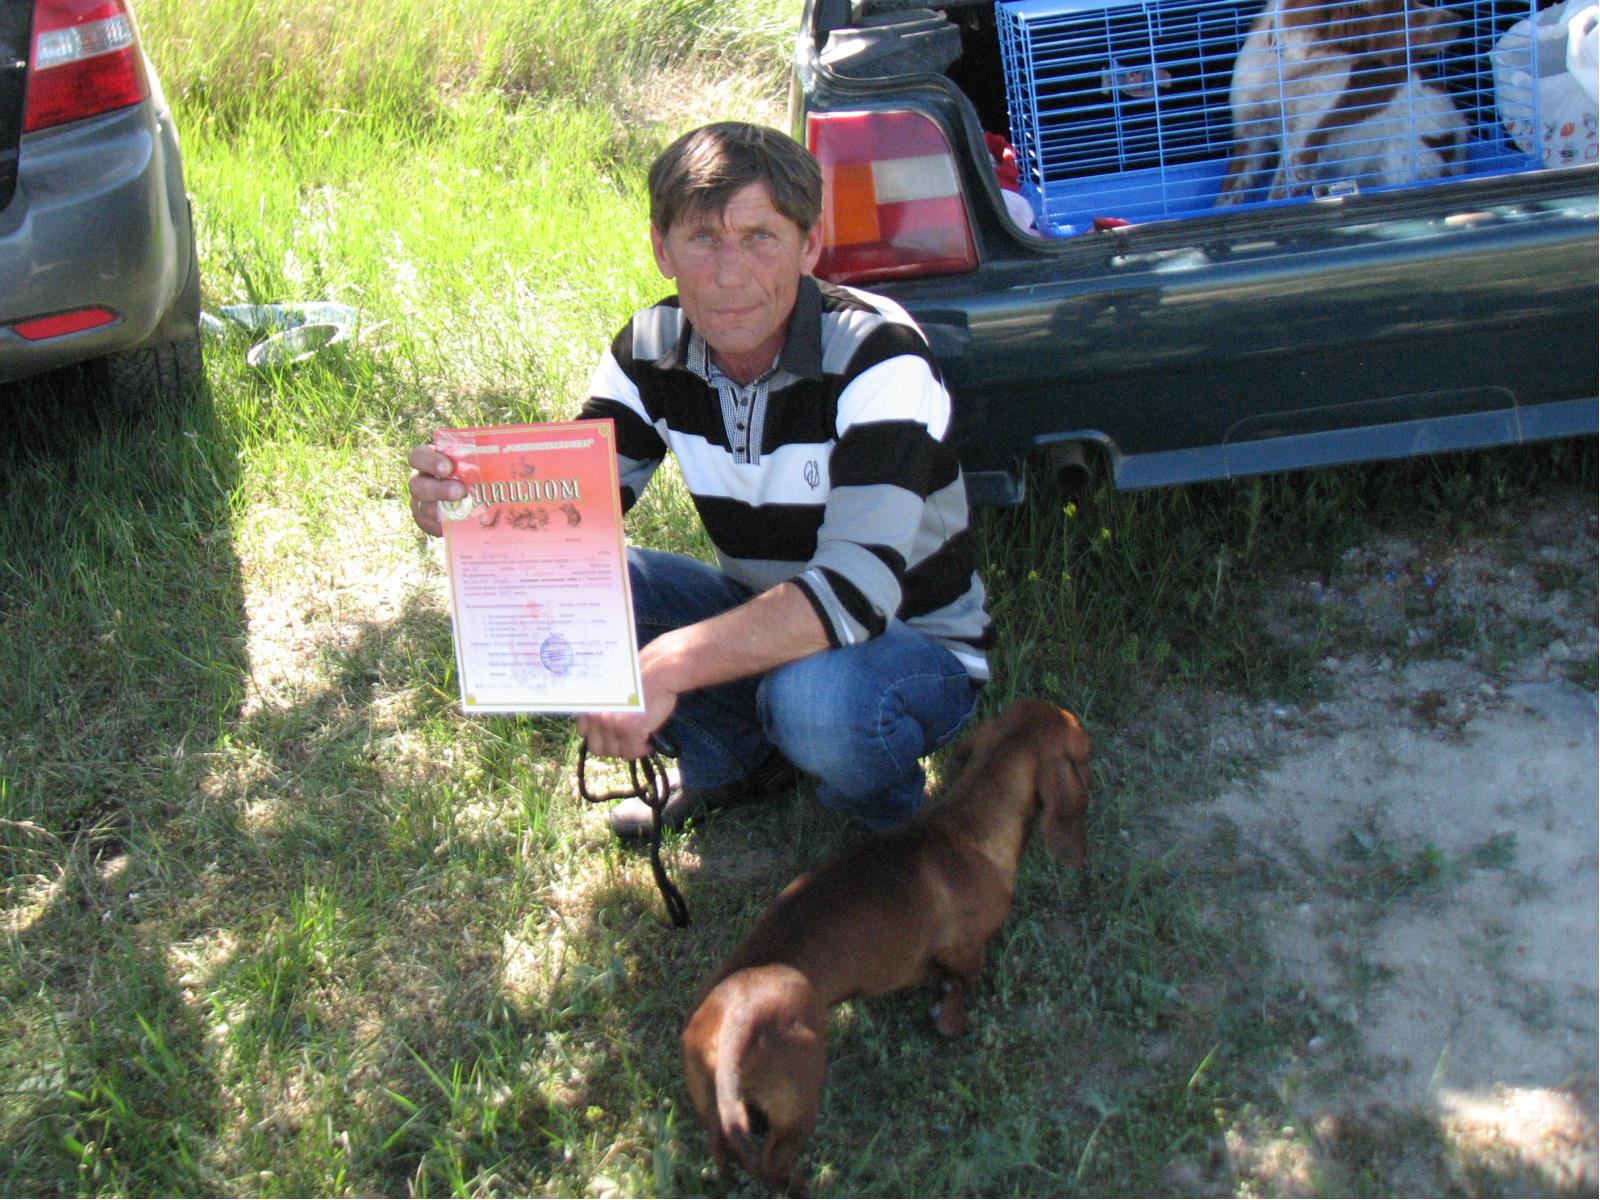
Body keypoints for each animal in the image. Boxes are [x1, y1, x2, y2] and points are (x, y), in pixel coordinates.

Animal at [680, 699, 1093, 1195]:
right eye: (1087, 748)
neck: (968, 826)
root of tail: (731, 1034)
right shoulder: (967, 949)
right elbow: (963, 982)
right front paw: (951, 1020)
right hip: (801, 1092)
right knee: (776, 1164)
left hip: (712, 1107)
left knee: (722, 1150)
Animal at [1216, 0, 1468, 204]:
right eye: (1401, 8)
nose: (1458, 19)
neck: (1287, 70)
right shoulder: (1250, 136)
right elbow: (1228, 195)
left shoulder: (1302, 146)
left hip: (1399, 151)